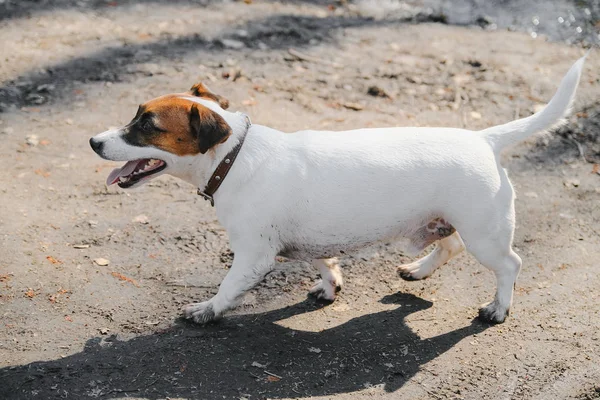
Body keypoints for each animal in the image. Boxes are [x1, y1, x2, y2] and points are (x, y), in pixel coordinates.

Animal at [89, 55, 584, 324]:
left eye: (147, 126)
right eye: (136, 114)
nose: (93, 142)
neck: (236, 156)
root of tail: (484, 138)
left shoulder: (252, 256)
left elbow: (228, 289)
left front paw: (207, 309)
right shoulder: (311, 240)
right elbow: (325, 263)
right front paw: (329, 288)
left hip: (486, 234)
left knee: (509, 266)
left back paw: (498, 308)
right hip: (447, 221)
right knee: (450, 246)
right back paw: (418, 270)